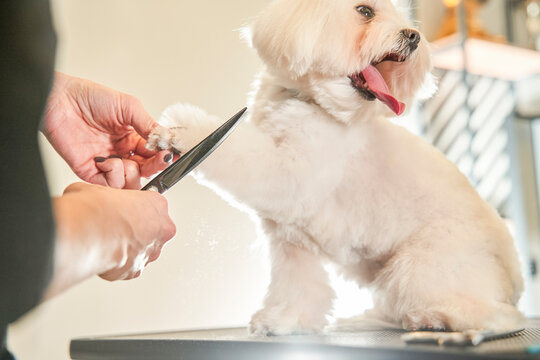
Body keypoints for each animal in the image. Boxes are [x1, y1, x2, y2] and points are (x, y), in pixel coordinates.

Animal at [147, 0, 524, 334]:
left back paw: (436, 317)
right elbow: (296, 285)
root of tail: (513, 273)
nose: (413, 36)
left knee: (498, 316)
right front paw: (285, 321)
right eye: (366, 11)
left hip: (422, 265)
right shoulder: (290, 239)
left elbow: (236, 152)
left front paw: (183, 132)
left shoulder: (288, 174)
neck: (311, 103)